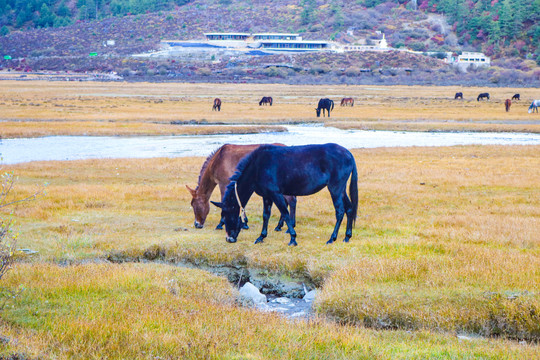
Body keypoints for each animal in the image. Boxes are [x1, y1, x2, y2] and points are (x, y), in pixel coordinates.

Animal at [211, 142, 358, 246]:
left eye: (229, 214)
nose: (229, 239)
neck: (258, 167)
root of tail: (348, 154)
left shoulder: (276, 194)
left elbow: (285, 213)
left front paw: (293, 238)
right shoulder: (267, 196)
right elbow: (266, 215)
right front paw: (261, 237)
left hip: (335, 188)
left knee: (340, 211)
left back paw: (332, 238)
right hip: (341, 189)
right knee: (349, 208)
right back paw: (347, 236)